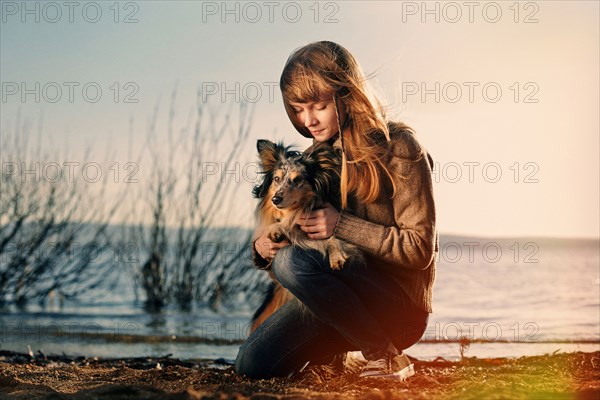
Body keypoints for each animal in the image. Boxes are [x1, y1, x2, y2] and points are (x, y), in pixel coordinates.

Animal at [250, 139, 360, 332]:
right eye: (276, 179)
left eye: (297, 179)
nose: (275, 200)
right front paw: (277, 229)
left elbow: (334, 237)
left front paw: (337, 256)